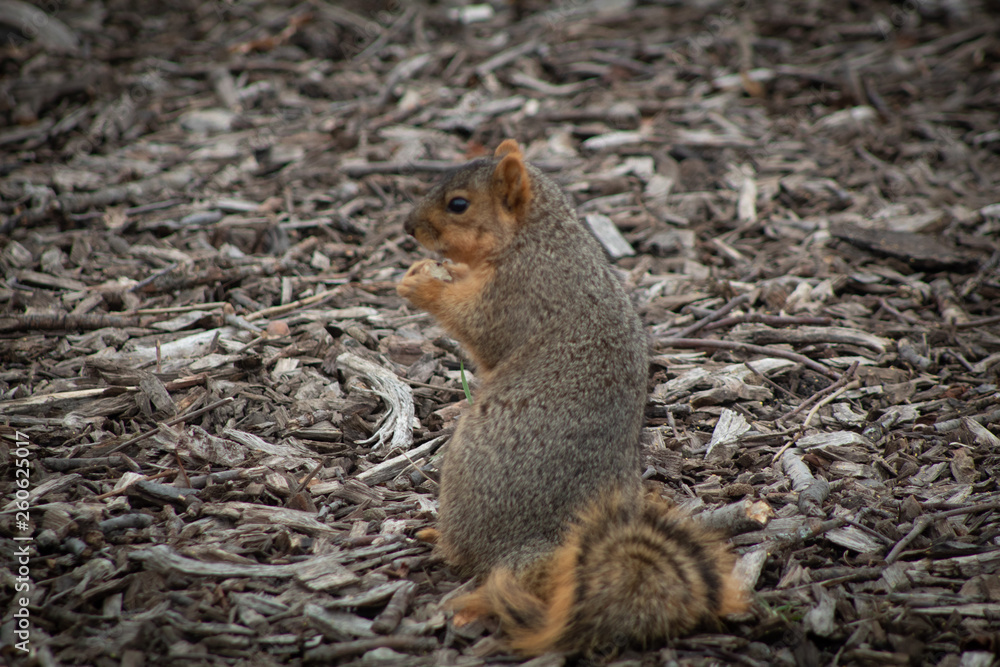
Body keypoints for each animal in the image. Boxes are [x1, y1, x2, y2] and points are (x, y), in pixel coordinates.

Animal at [397, 139, 746, 657]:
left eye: (458, 204)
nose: (409, 226)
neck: (537, 237)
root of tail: (537, 551)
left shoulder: (518, 294)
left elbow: (480, 331)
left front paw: (421, 283)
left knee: (476, 562)